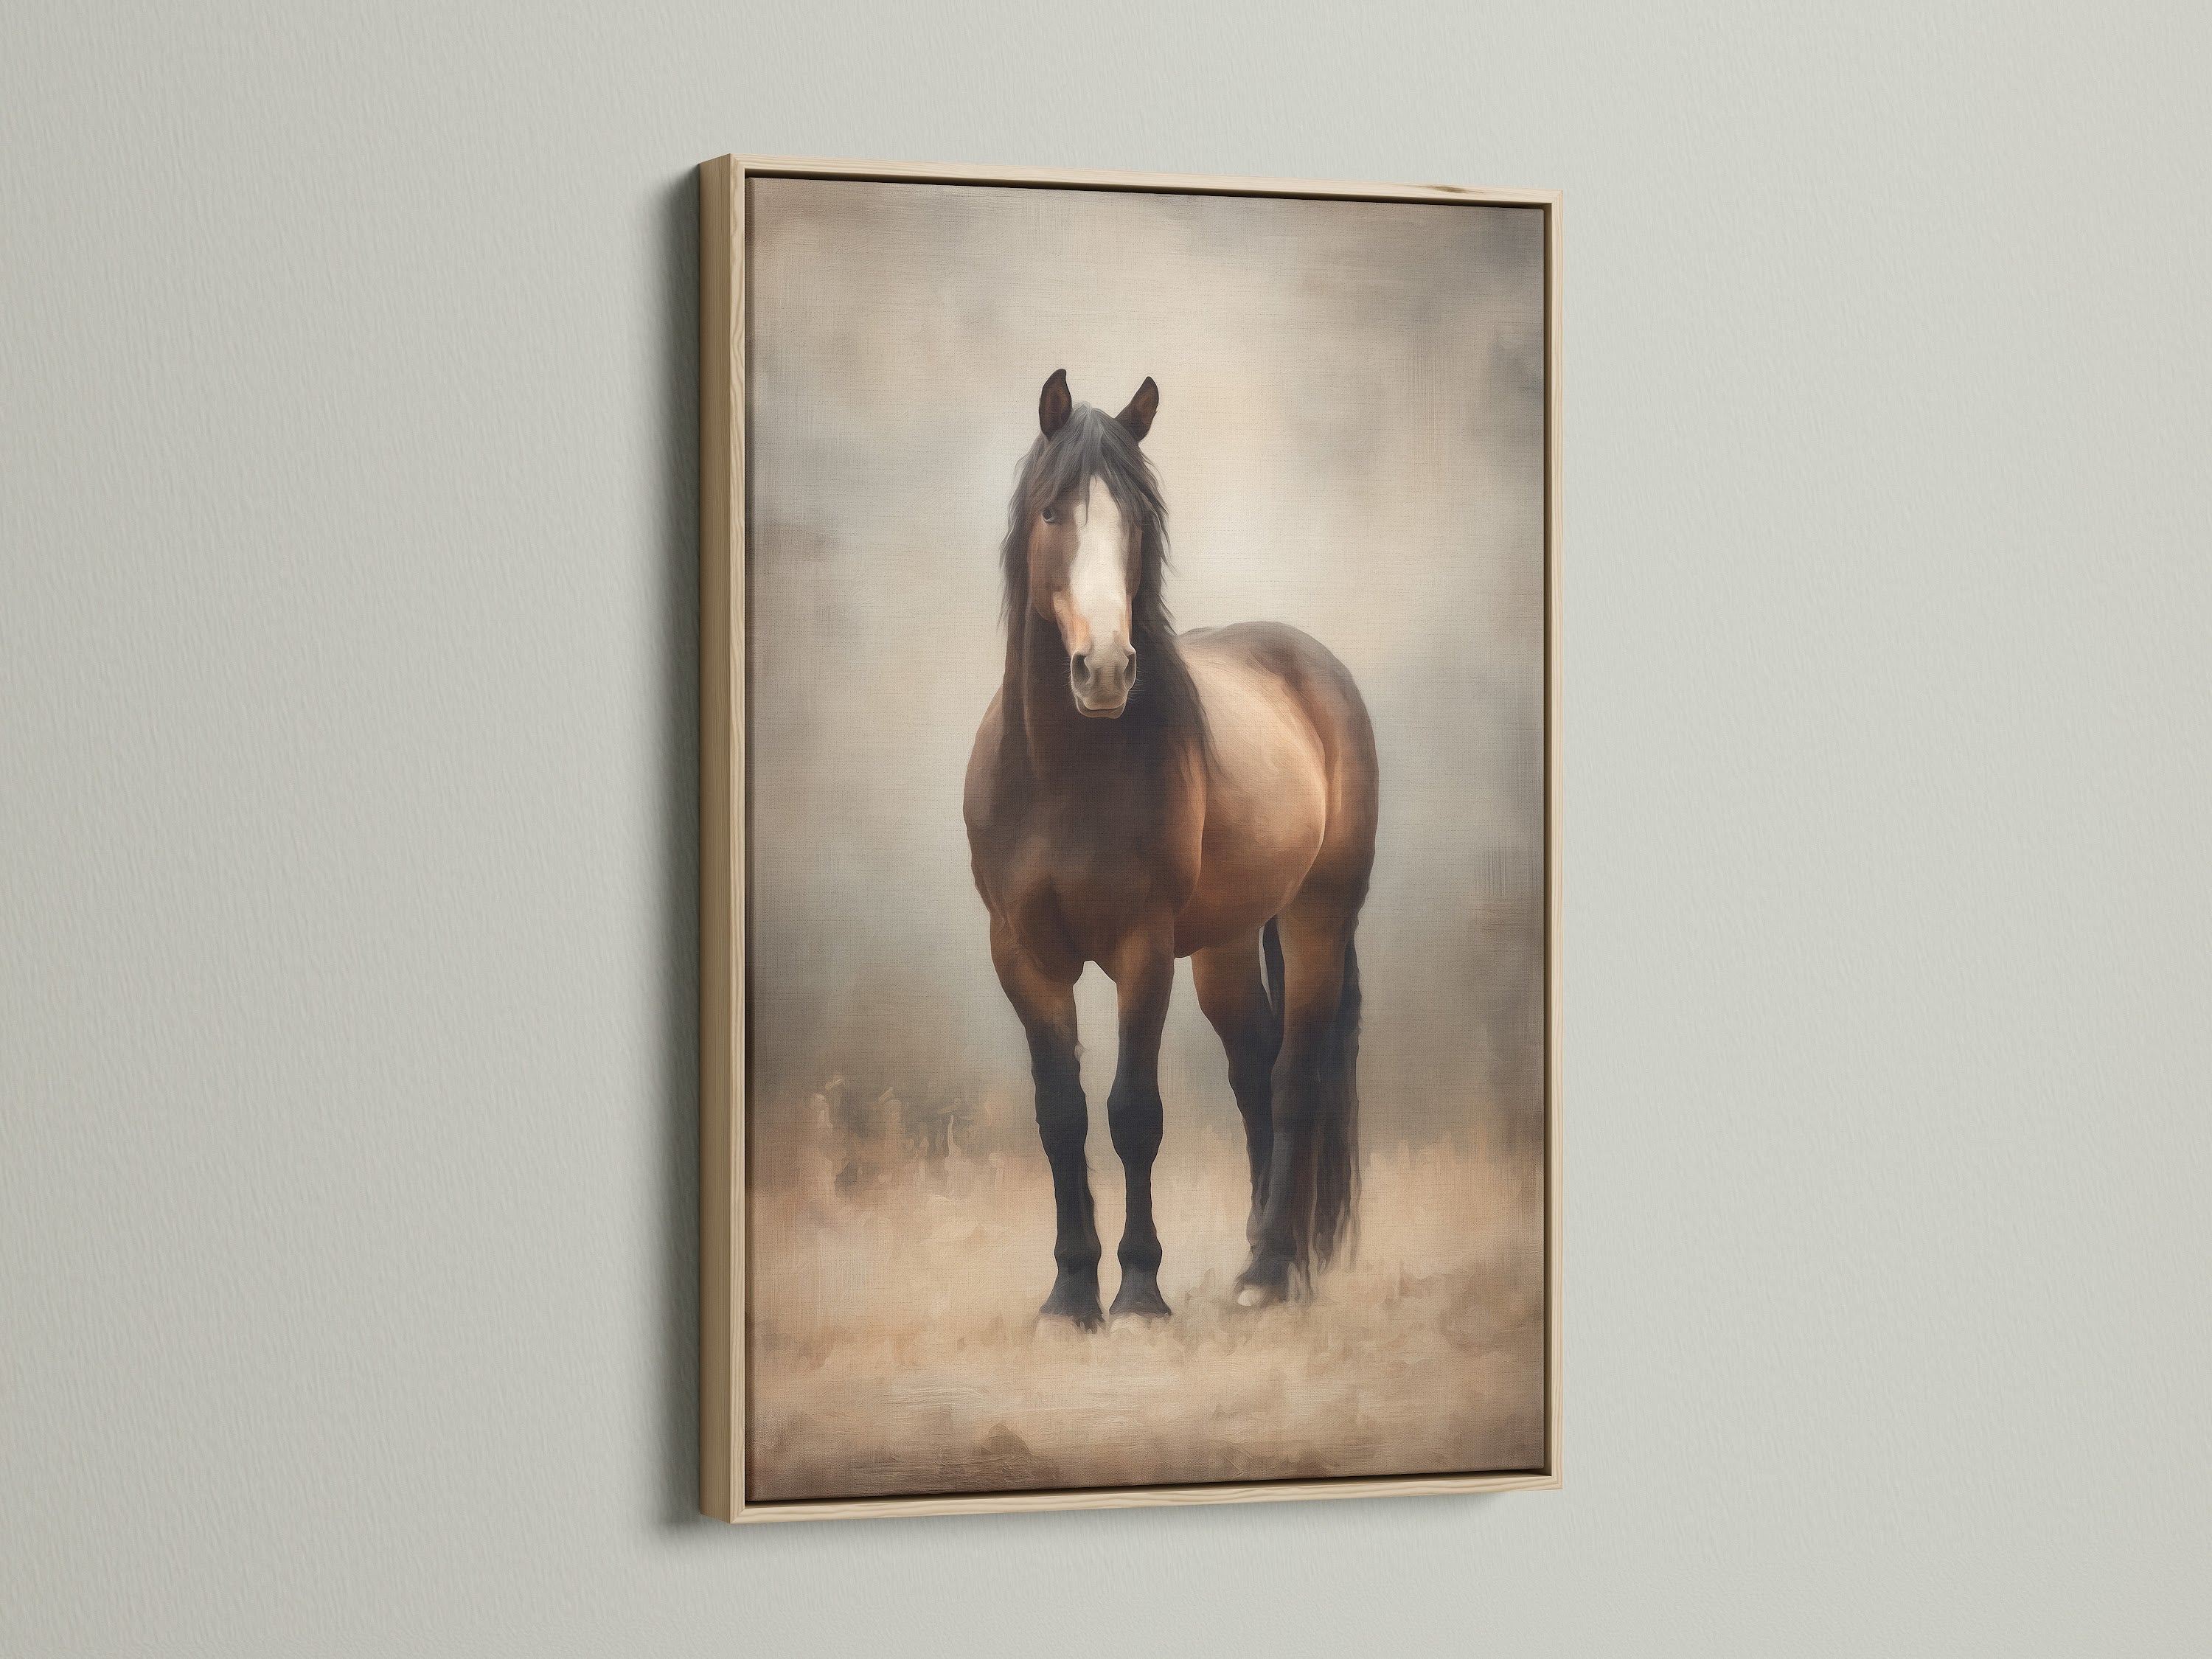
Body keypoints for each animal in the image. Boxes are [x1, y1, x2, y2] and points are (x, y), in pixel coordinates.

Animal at [963, 369, 1380, 1327]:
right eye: (1053, 511)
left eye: (1138, 522)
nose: (1106, 670)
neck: (1065, 776)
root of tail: (1315, 666)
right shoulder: (1020, 953)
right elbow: (1062, 1114)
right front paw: (1069, 1293)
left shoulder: (1142, 948)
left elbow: (1133, 1113)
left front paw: (1140, 1292)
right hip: (1227, 944)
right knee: (1254, 1069)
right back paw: (1266, 1253)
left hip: (1317, 918)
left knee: (1295, 1075)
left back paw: (1271, 1272)